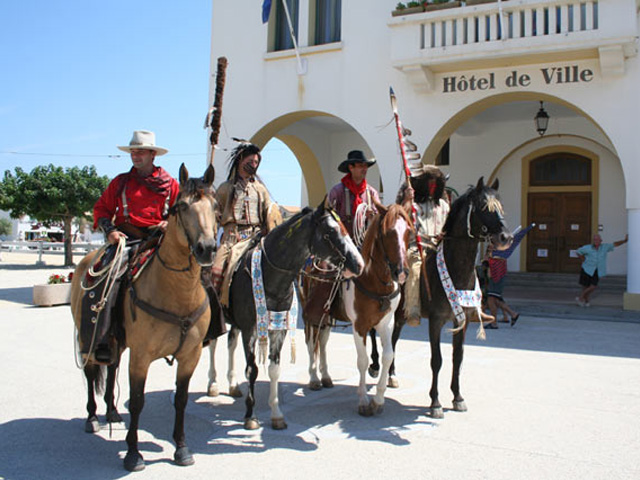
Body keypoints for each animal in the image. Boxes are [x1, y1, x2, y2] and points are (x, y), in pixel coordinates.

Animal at [71, 163, 218, 470]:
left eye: (216, 206)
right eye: (182, 206)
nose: (207, 249)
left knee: (112, 365)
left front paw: (181, 449)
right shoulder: (141, 356)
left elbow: (181, 400)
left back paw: (112, 412)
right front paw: (132, 454)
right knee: (91, 372)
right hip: (87, 338)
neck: (177, 293)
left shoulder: (191, 355)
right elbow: (138, 401)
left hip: (115, 340)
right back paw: (92, 417)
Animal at [209, 197, 362, 430]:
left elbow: (274, 369)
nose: (359, 264)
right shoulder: (251, 329)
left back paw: (233, 385)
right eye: (329, 232)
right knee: (212, 344)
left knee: (230, 344)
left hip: (235, 322)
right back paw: (213, 384)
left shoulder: (278, 329)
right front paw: (250, 416)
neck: (271, 276)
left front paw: (276, 414)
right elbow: (252, 369)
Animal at [302, 202, 412, 416]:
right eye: (387, 232)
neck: (372, 280)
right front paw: (363, 401)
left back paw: (326, 376)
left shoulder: (387, 323)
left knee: (323, 342)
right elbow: (362, 360)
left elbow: (388, 356)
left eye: (409, 232)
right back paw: (314, 378)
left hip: (327, 317)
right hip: (309, 313)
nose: (402, 273)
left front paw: (378, 400)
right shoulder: (359, 326)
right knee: (311, 342)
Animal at [420, 178, 516, 418]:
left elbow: (458, 357)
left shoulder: (461, 320)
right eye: (483, 206)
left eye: (501, 205)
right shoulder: (435, 321)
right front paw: (435, 402)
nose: (506, 237)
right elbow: (437, 360)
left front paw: (457, 397)